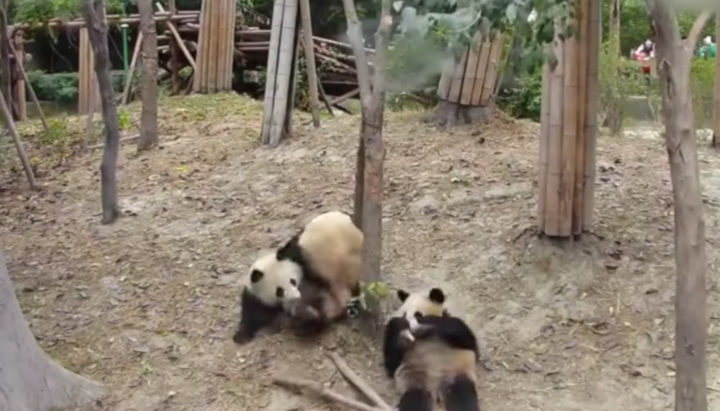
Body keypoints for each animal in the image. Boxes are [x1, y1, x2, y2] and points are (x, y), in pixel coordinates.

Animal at [233, 212, 362, 344]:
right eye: (279, 291)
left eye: (292, 281)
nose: (296, 297)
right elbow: (254, 311)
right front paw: (241, 335)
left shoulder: (306, 266)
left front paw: (310, 316)